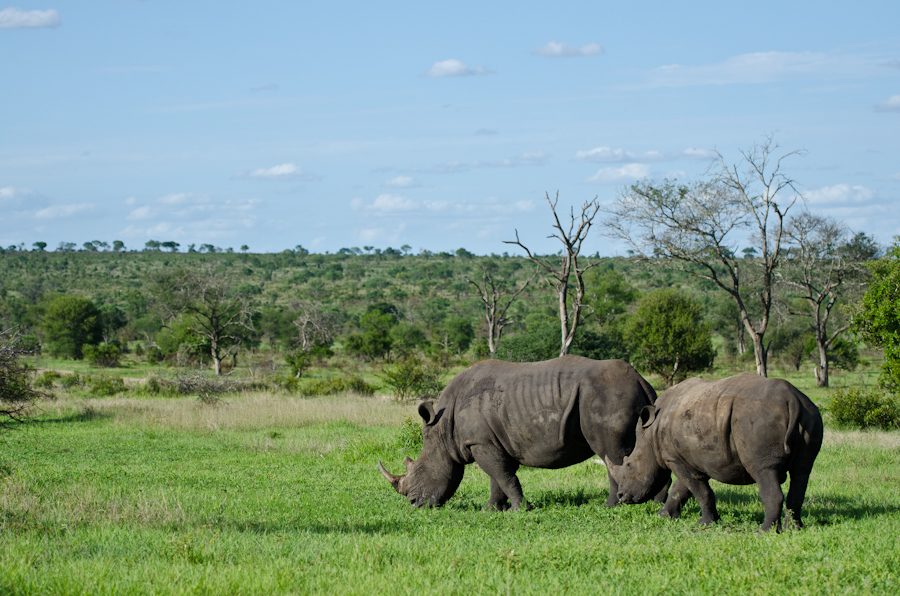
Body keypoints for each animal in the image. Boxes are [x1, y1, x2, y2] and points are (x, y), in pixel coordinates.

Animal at [378, 355, 661, 511]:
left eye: (420, 470)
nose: (414, 504)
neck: (443, 430)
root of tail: (641, 381)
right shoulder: (491, 441)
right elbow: (498, 477)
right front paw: (492, 509)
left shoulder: (480, 441)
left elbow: (502, 475)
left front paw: (519, 509)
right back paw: (656, 503)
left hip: (608, 397)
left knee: (611, 453)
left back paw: (610, 506)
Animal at [605, 372, 823, 532]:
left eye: (629, 465)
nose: (622, 496)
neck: (650, 434)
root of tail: (792, 400)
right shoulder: (687, 458)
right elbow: (682, 489)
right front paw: (664, 515)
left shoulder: (675, 458)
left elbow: (699, 490)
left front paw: (705, 524)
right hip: (811, 414)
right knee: (802, 471)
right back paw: (795, 529)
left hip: (758, 418)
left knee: (764, 470)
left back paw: (764, 531)